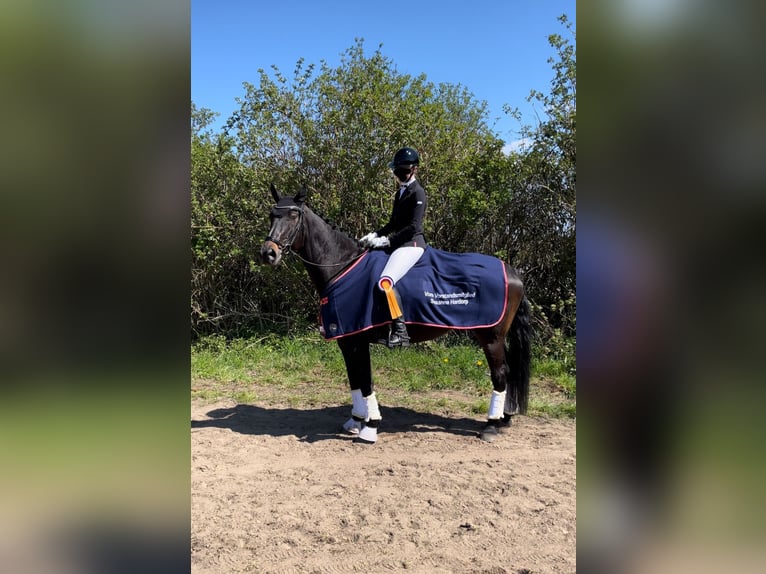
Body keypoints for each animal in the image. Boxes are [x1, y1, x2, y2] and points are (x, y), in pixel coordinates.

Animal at [260, 184, 531, 444]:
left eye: (293, 215)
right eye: (272, 214)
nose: (268, 253)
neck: (342, 266)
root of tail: (512, 272)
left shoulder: (358, 341)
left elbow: (366, 381)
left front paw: (370, 427)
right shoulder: (346, 341)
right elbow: (354, 380)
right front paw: (356, 420)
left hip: (490, 336)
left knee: (500, 373)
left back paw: (491, 426)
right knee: (508, 371)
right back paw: (504, 418)